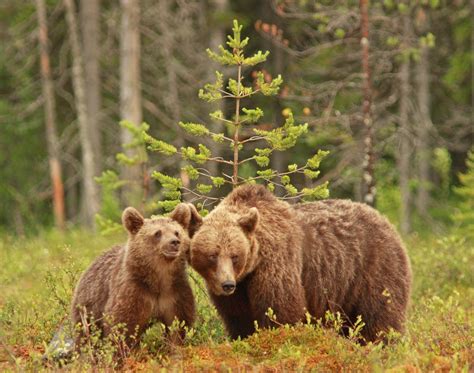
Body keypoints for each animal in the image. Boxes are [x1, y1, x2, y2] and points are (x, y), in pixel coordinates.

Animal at [189, 183, 412, 340]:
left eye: (235, 255)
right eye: (212, 255)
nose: (227, 284)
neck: (252, 266)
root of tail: (386, 221)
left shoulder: (276, 265)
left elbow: (281, 312)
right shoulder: (238, 292)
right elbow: (240, 320)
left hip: (375, 267)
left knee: (378, 316)